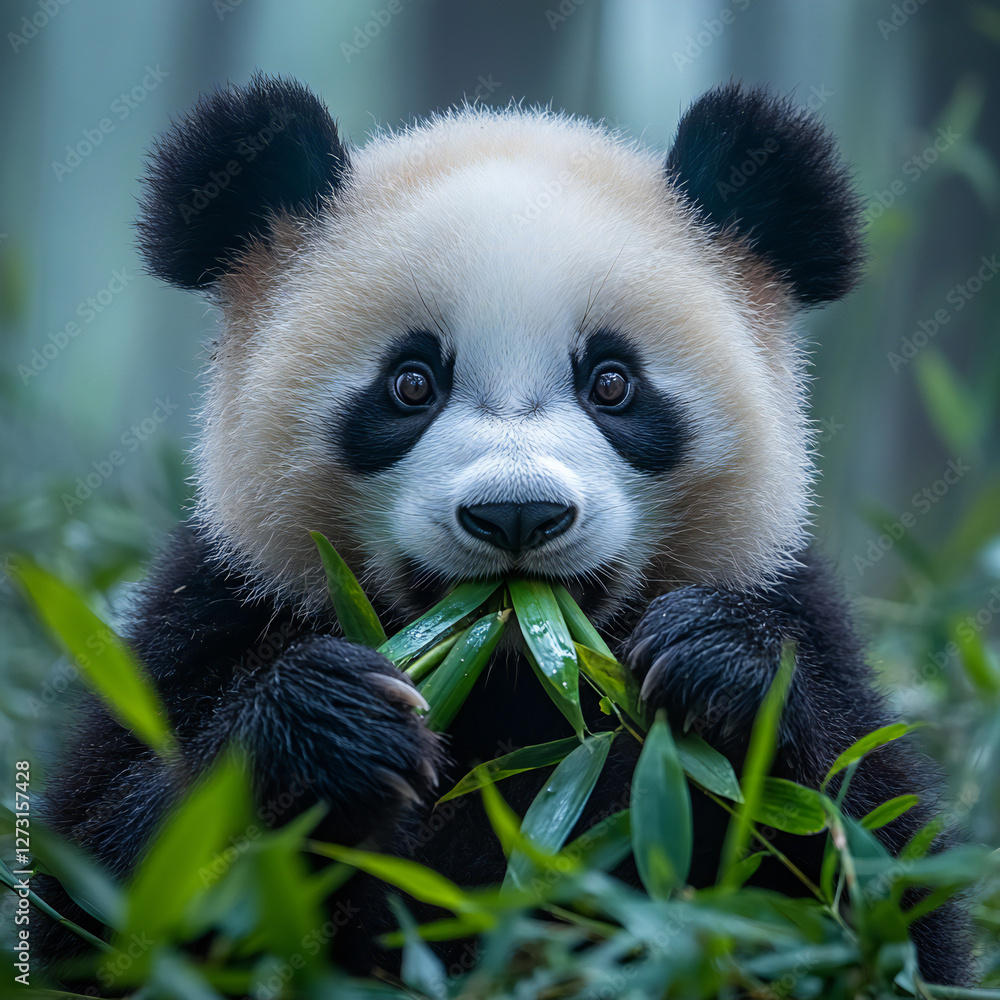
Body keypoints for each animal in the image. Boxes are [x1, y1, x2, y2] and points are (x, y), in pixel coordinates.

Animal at [38, 74, 971, 986]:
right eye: (411, 383)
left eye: (612, 383)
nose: (517, 512)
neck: (516, 669)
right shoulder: (216, 604)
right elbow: (103, 881)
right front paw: (331, 722)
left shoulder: (788, 597)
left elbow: (874, 881)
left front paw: (719, 667)